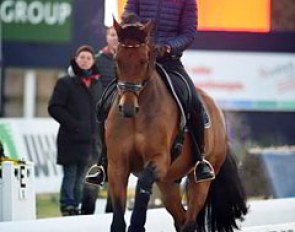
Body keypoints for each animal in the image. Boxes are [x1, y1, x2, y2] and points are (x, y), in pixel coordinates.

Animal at [105, 17, 249, 232]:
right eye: (117, 60)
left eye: (144, 61)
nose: (128, 108)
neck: (138, 116)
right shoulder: (117, 165)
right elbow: (117, 216)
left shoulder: (159, 161)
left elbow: (143, 182)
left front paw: (137, 224)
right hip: (168, 183)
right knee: (181, 218)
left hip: (200, 179)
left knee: (190, 220)